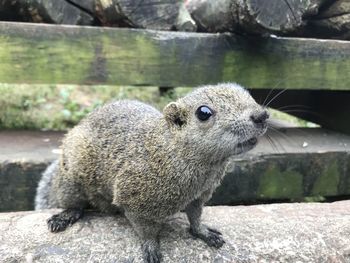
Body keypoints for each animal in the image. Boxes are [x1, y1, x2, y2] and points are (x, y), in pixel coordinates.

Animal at [34, 83, 268, 262]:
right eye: (204, 113)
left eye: (248, 94)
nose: (262, 115)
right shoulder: (134, 197)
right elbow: (144, 228)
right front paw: (151, 247)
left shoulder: (200, 194)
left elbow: (195, 216)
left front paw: (202, 232)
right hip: (72, 176)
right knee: (73, 201)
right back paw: (65, 216)